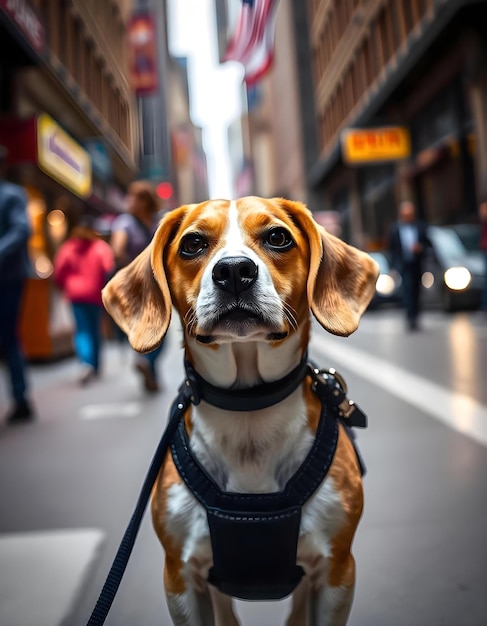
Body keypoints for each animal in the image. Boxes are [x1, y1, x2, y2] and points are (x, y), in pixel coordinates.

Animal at [101, 196, 380, 624]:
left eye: (278, 237)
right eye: (193, 243)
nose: (234, 271)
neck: (249, 410)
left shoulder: (337, 573)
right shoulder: (180, 579)